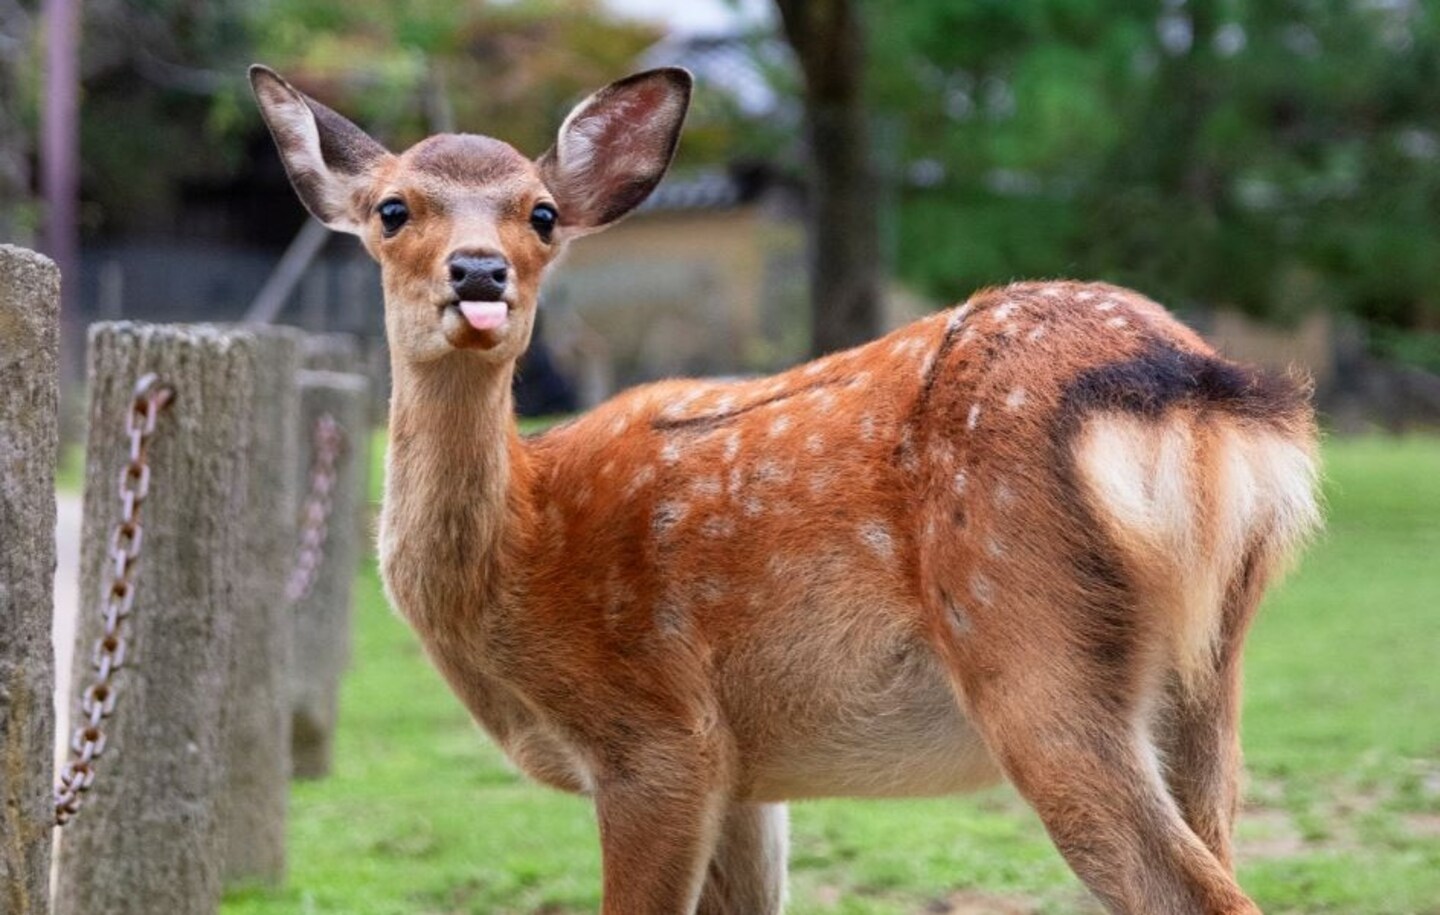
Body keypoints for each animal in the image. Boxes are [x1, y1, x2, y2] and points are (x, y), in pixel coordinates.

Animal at [250, 60, 1319, 910]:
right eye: (393, 209)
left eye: (541, 215)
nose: (479, 274)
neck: (522, 547)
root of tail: (1197, 388)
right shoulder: (747, 772)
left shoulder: (658, 735)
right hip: (1207, 677)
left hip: (1027, 633)